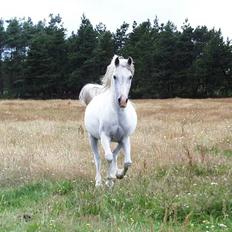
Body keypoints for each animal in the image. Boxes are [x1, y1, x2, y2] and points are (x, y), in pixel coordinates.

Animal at [80, 54, 138, 187]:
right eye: (115, 76)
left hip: (118, 140)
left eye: (130, 77)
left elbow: (127, 162)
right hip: (92, 138)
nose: (122, 101)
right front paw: (109, 179)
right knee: (98, 158)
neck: (118, 114)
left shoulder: (124, 138)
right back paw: (98, 182)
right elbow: (108, 157)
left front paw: (118, 175)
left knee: (115, 154)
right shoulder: (104, 137)